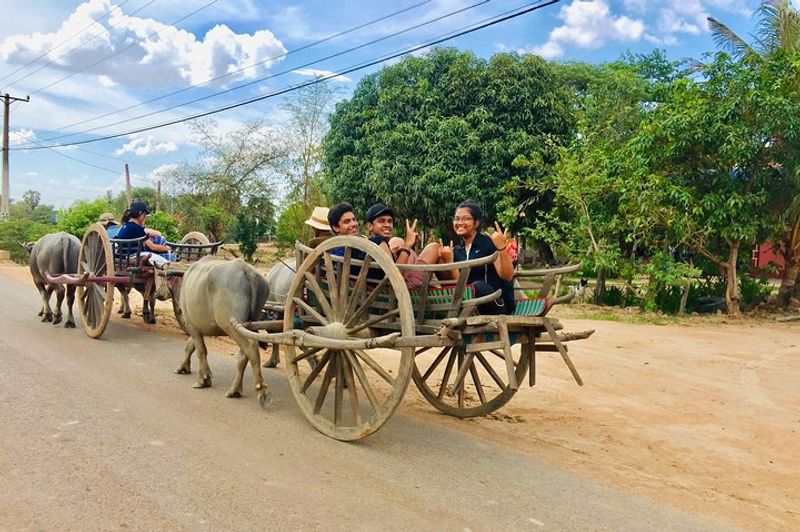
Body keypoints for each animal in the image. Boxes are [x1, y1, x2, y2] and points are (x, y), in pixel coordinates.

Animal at [175, 258, 272, 408]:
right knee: (244, 354)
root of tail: (246, 270)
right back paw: (235, 390)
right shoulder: (199, 327)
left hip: (231, 324)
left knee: (251, 347)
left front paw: (203, 380)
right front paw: (183, 367)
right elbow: (190, 346)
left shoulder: (191, 325)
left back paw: (260, 390)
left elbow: (200, 350)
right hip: (250, 322)